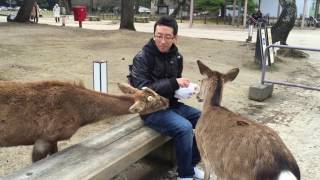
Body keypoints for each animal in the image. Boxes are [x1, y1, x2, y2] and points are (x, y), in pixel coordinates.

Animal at [0, 80, 169, 162]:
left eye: (157, 93)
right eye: (154, 102)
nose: (167, 101)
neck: (81, 115)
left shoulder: (53, 138)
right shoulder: (44, 137)